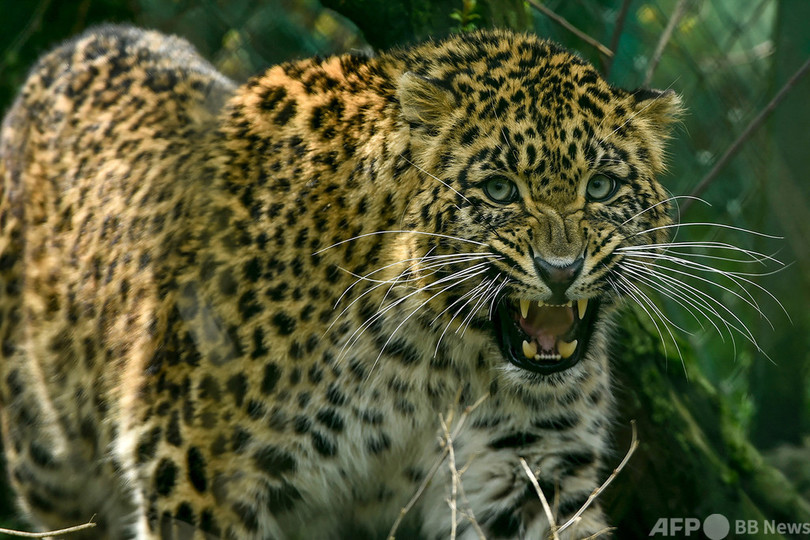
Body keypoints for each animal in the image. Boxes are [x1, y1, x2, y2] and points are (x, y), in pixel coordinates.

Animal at [0, 23, 680, 536]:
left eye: (602, 187)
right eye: (498, 190)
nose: (560, 271)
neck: (441, 358)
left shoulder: (526, 471)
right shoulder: (195, 469)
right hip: (45, 460)